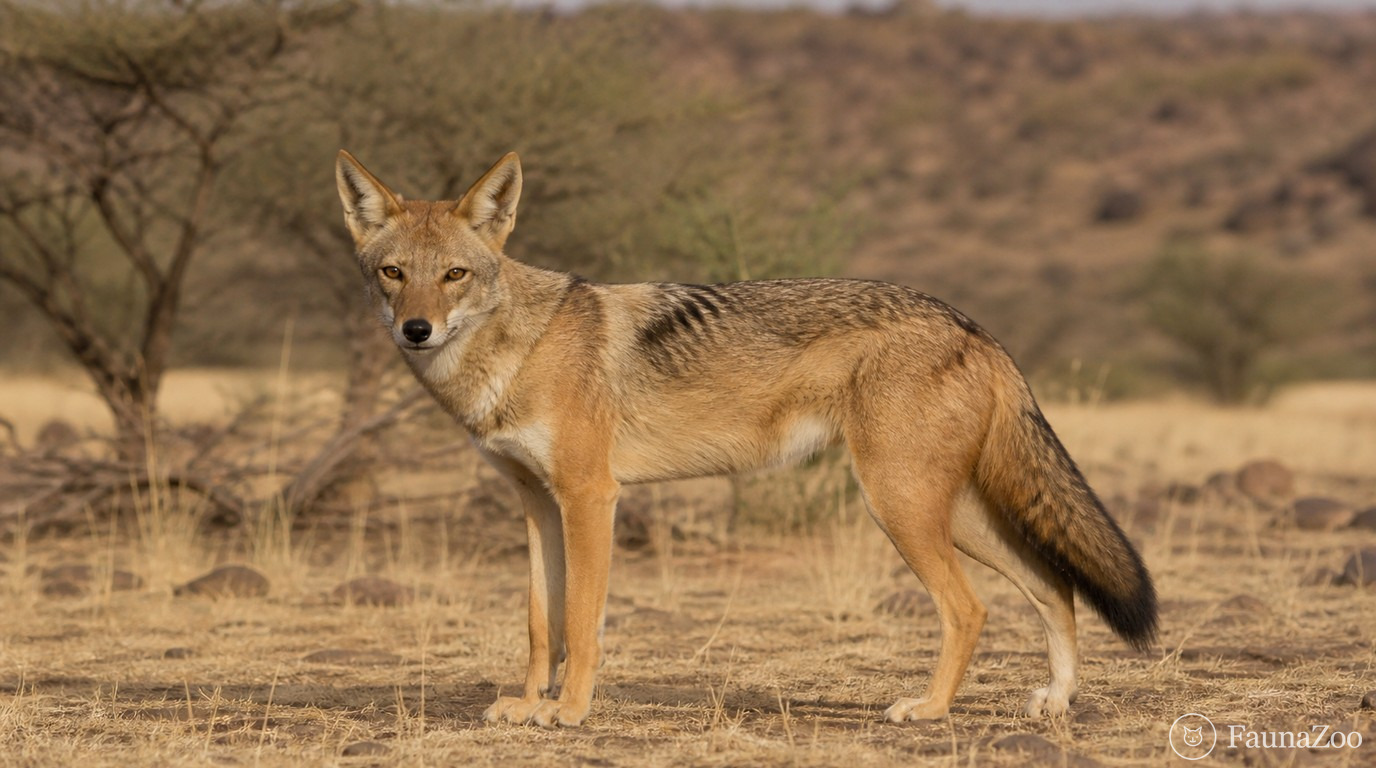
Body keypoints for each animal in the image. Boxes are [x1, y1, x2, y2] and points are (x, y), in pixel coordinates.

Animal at [334, 150, 1157, 728]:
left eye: (455, 275)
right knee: (1054, 587)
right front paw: (529, 702)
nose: (416, 329)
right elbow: (543, 623)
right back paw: (1055, 702)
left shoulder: (591, 498)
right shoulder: (538, 506)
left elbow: (584, 623)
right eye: (393, 274)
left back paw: (928, 709)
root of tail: (971, 323)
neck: (517, 352)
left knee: (973, 609)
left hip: (900, 507)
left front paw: (566, 712)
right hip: (949, 512)